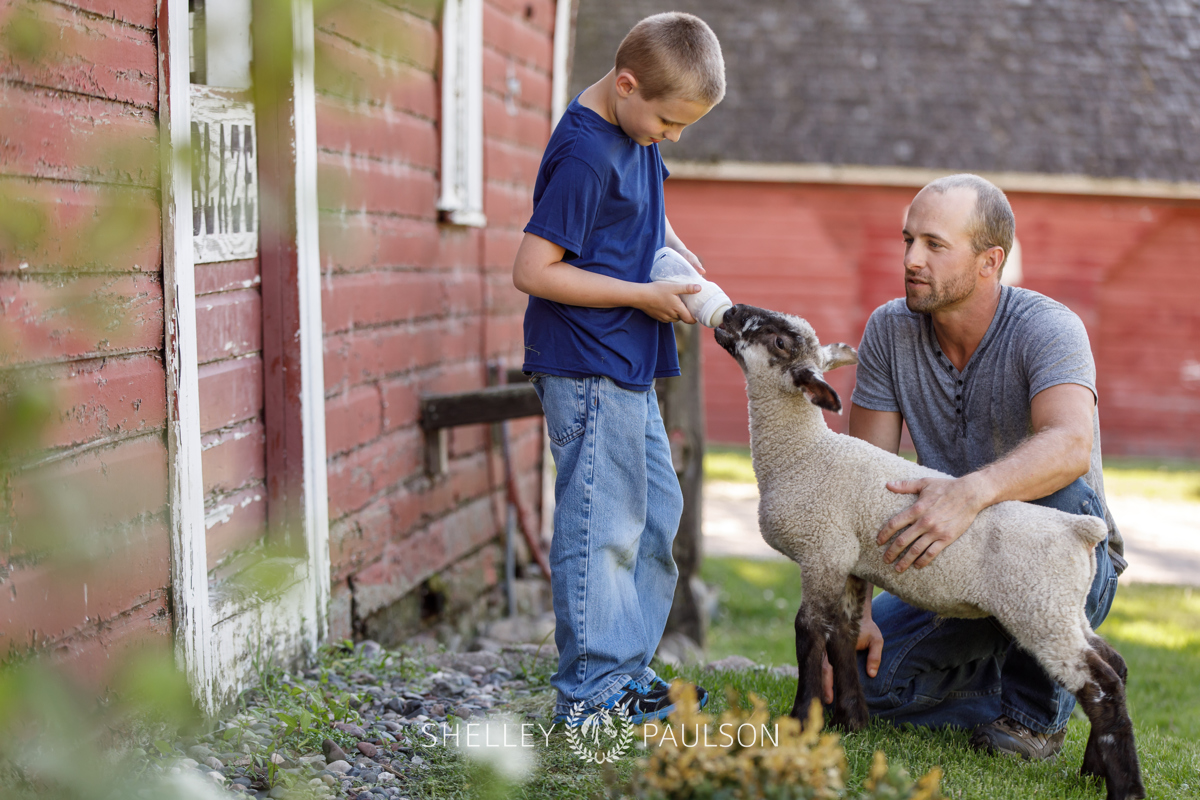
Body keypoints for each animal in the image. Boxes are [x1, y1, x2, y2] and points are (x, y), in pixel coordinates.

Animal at [710, 304, 1142, 800]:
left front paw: (801, 722)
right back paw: (1094, 771)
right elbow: (845, 633)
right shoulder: (848, 560)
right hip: (1064, 609)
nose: (731, 311)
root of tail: (1080, 530)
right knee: (1115, 665)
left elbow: (809, 630)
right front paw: (851, 720)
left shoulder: (822, 550)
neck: (802, 454)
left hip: (1038, 608)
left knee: (1100, 685)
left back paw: (1124, 787)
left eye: (780, 341)